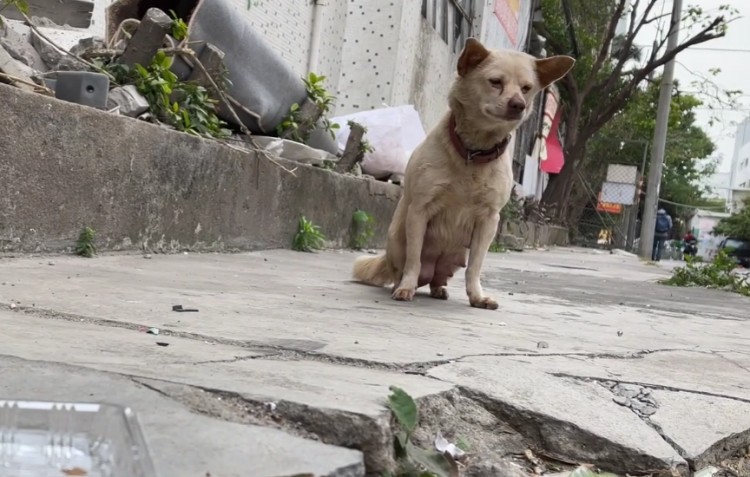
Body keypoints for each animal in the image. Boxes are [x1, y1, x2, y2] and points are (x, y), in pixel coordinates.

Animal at [354, 38, 576, 308]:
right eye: (495, 82)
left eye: (526, 88)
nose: (518, 105)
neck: (474, 151)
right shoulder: (419, 211)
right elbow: (413, 259)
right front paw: (406, 287)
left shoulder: (489, 221)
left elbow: (476, 266)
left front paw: (477, 296)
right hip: (396, 239)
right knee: (404, 267)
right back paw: (403, 285)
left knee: (439, 279)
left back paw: (439, 289)